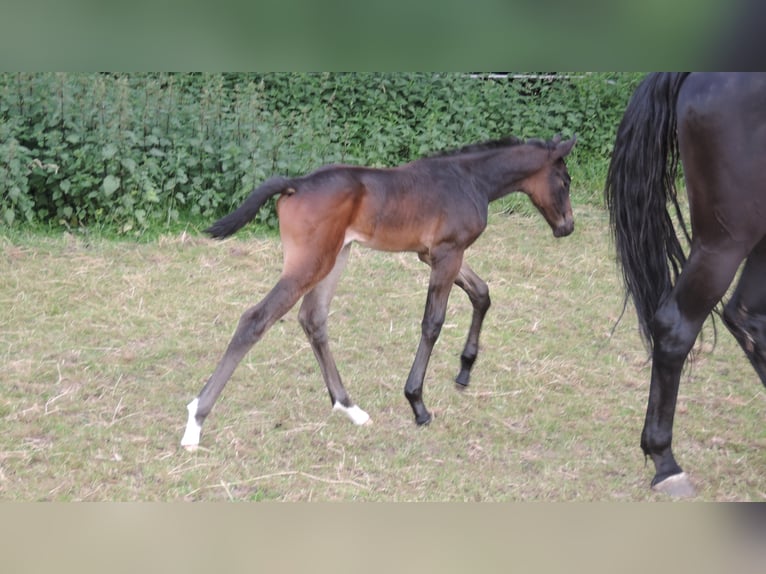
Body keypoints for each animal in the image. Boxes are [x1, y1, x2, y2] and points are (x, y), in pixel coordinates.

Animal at [182, 134, 576, 450]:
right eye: (565, 180)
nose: (567, 227)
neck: (470, 179)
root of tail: (296, 183)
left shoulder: (435, 254)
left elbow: (482, 293)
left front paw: (465, 370)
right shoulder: (447, 253)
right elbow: (433, 323)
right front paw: (417, 404)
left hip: (335, 257)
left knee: (313, 319)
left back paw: (349, 408)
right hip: (310, 264)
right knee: (256, 319)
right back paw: (195, 422)